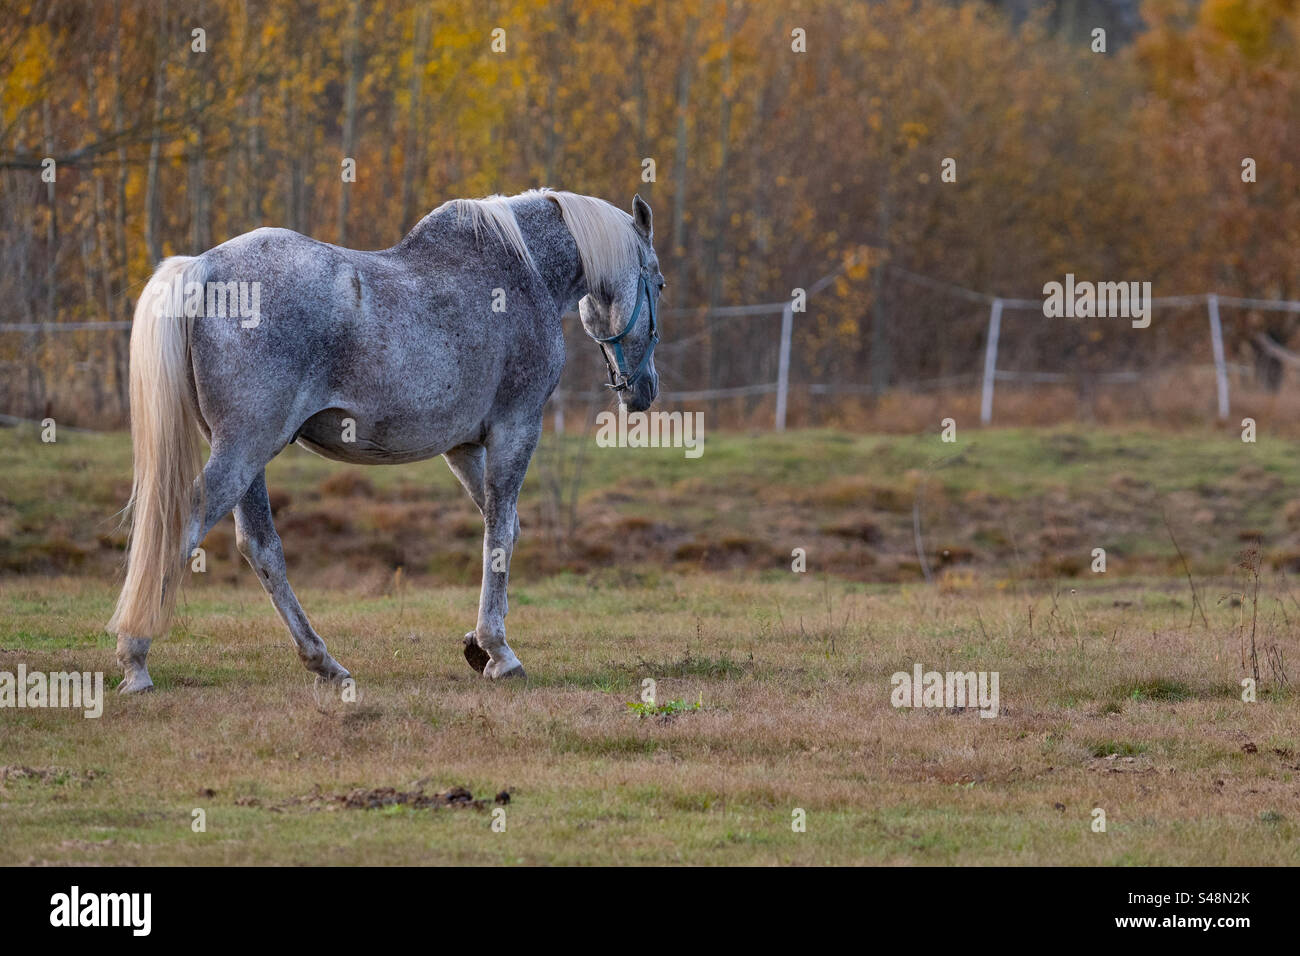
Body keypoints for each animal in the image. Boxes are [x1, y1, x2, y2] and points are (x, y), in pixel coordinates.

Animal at [108, 189, 663, 693]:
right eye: (657, 281)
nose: (645, 390)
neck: (522, 271)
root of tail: (202, 268)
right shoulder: (516, 429)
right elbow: (500, 535)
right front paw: (499, 652)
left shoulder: (464, 447)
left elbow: (500, 527)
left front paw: (477, 646)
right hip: (242, 452)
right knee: (185, 526)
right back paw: (135, 658)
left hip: (249, 458)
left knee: (261, 547)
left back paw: (323, 661)